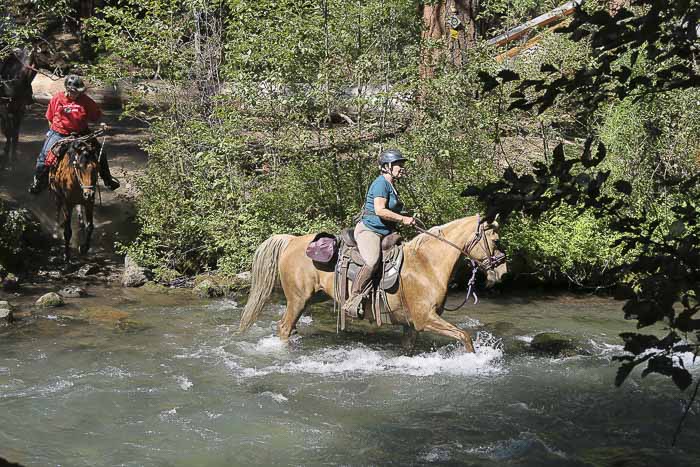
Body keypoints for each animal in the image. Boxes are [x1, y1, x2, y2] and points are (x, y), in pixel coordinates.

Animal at [48, 134, 101, 264]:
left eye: (96, 168)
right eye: (80, 167)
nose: (89, 193)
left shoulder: (89, 203)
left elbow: (90, 226)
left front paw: (84, 248)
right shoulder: (68, 204)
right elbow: (67, 231)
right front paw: (66, 256)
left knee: (79, 210)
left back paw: (80, 223)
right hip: (57, 195)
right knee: (57, 209)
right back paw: (56, 231)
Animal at [241, 214, 508, 352]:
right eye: (495, 240)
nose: (503, 273)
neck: (427, 263)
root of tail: (292, 240)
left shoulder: (412, 324)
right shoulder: (425, 319)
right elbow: (465, 336)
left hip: (310, 298)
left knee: (288, 326)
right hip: (298, 299)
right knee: (284, 327)